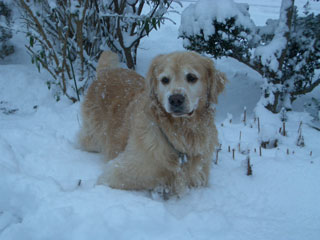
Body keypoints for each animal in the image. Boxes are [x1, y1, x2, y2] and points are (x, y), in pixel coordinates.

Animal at [78, 51, 226, 197]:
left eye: (191, 77)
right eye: (165, 80)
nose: (175, 99)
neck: (180, 133)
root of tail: (107, 72)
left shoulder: (199, 178)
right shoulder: (115, 173)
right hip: (92, 140)